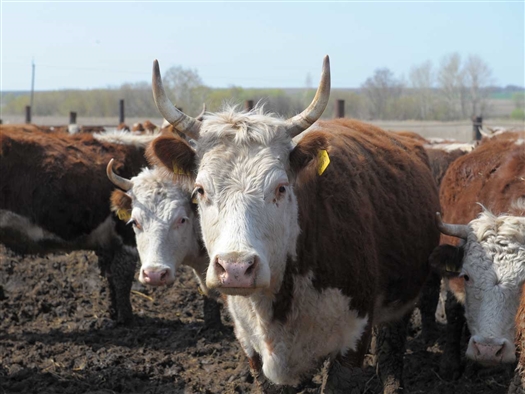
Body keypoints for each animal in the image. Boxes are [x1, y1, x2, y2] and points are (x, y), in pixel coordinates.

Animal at [145, 57, 440, 392]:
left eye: (281, 188)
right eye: (200, 190)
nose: (236, 268)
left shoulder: (352, 343)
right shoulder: (251, 346)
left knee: (391, 347)